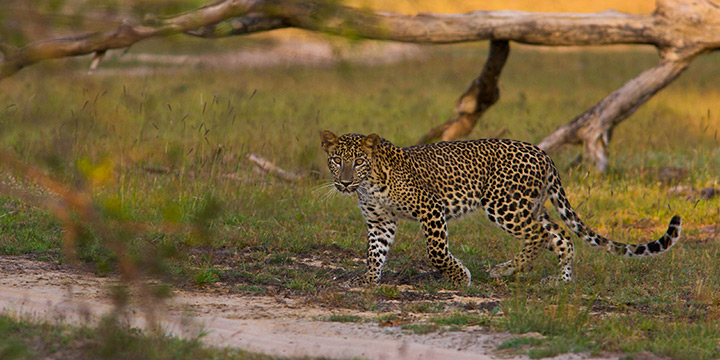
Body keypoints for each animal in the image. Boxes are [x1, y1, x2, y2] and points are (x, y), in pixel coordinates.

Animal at [320, 130, 680, 286]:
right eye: (336, 160)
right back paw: (559, 281)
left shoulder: (431, 209)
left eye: (359, 161)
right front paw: (369, 280)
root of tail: (544, 153)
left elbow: (436, 252)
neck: (369, 184)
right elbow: (374, 252)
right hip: (530, 207)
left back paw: (507, 270)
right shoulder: (380, 221)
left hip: (504, 205)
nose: (345, 183)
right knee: (561, 237)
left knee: (538, 237)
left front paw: (459, 277)